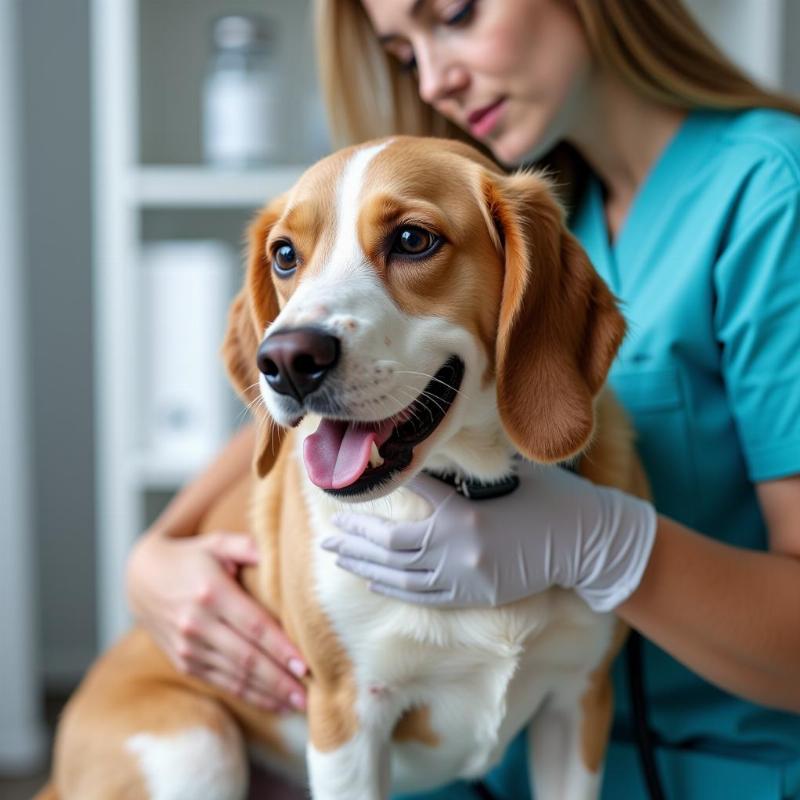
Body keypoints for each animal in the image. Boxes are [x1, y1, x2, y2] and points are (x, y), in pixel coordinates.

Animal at [39, 138, 648, 800]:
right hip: (195, 747)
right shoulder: (346, 719)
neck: (474, 495)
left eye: (412, 239)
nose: (285, 360)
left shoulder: (577, 705)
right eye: (285, 255)